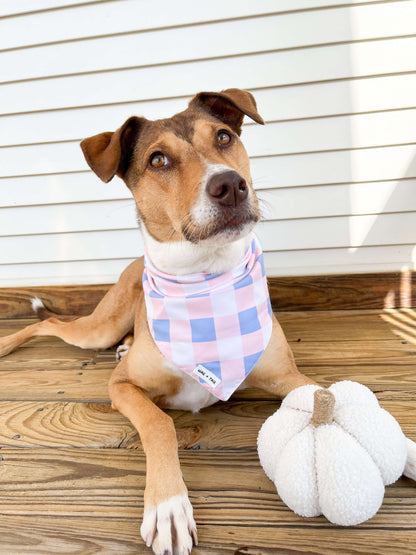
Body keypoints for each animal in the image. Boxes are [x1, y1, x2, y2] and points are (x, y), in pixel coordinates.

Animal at [0, 90, 316, 555]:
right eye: (158, 159)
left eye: (224, 137)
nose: (230, 185)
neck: (205, 280)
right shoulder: (121, 387)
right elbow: (159, 423)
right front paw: (168, 507)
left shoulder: (288, 377)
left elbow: (336, 396)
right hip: (96, 329)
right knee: (49, 322)